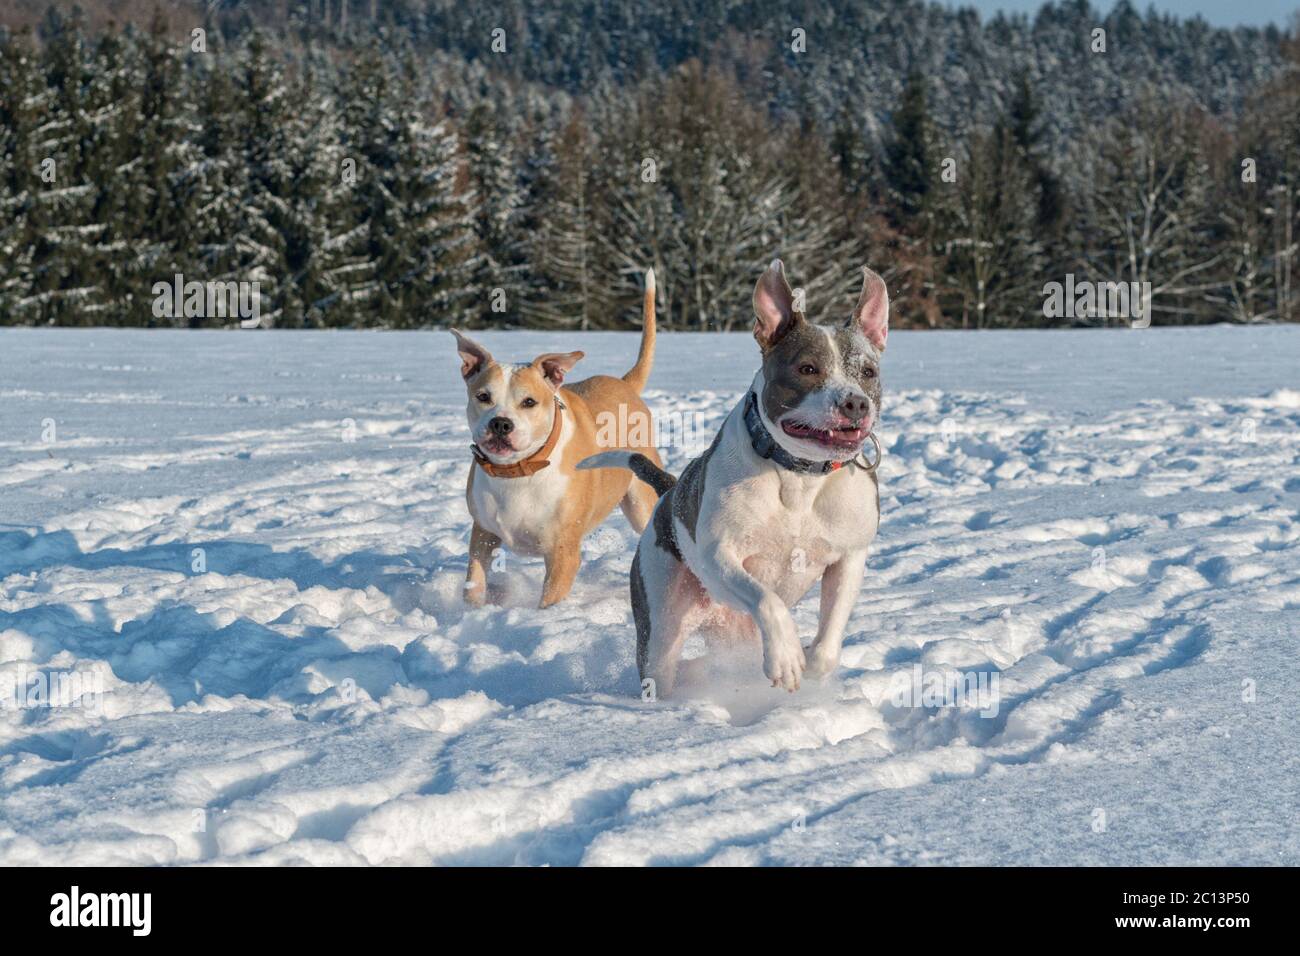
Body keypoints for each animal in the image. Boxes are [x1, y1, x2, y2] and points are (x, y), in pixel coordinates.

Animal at [454, 273, 660, 608]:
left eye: (529, 402)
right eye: (483, 396)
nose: (500, 423)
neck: (520, 470)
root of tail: (625, 383)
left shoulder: (562, 553)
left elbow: (549, 599)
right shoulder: (483, 533)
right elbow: (474, 581)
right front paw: (468, 613)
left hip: (642, 499)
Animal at [585, 261, 889, 697]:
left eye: (868, 371)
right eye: (807, 368)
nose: (855, 403)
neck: (799, 474)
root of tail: (669, 493)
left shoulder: (850, 556)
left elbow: (829, 640)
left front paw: (813, 663)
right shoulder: (719, 555)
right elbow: (767, 600)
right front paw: (786, 658)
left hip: (731, 632)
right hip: (662, 619)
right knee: (661, 663)